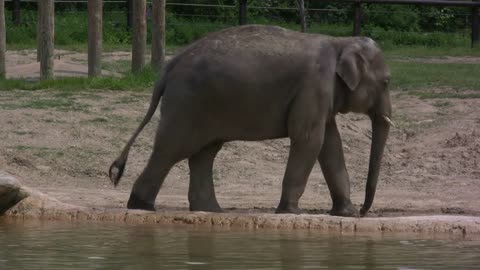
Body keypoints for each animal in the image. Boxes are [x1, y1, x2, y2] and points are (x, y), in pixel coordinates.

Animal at [109, 24, 394, 217]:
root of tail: (168, 67)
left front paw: (346, 214)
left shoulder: (322, 96)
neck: (341, 42)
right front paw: (291, 212)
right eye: (386, 82)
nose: (365, 210)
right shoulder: (315, 87)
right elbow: (309, 140)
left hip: (202, 105)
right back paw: (142, 206)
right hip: (187, 103)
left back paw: (211, 210)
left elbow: (330, 144)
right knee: (171, 150)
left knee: (204, 154)